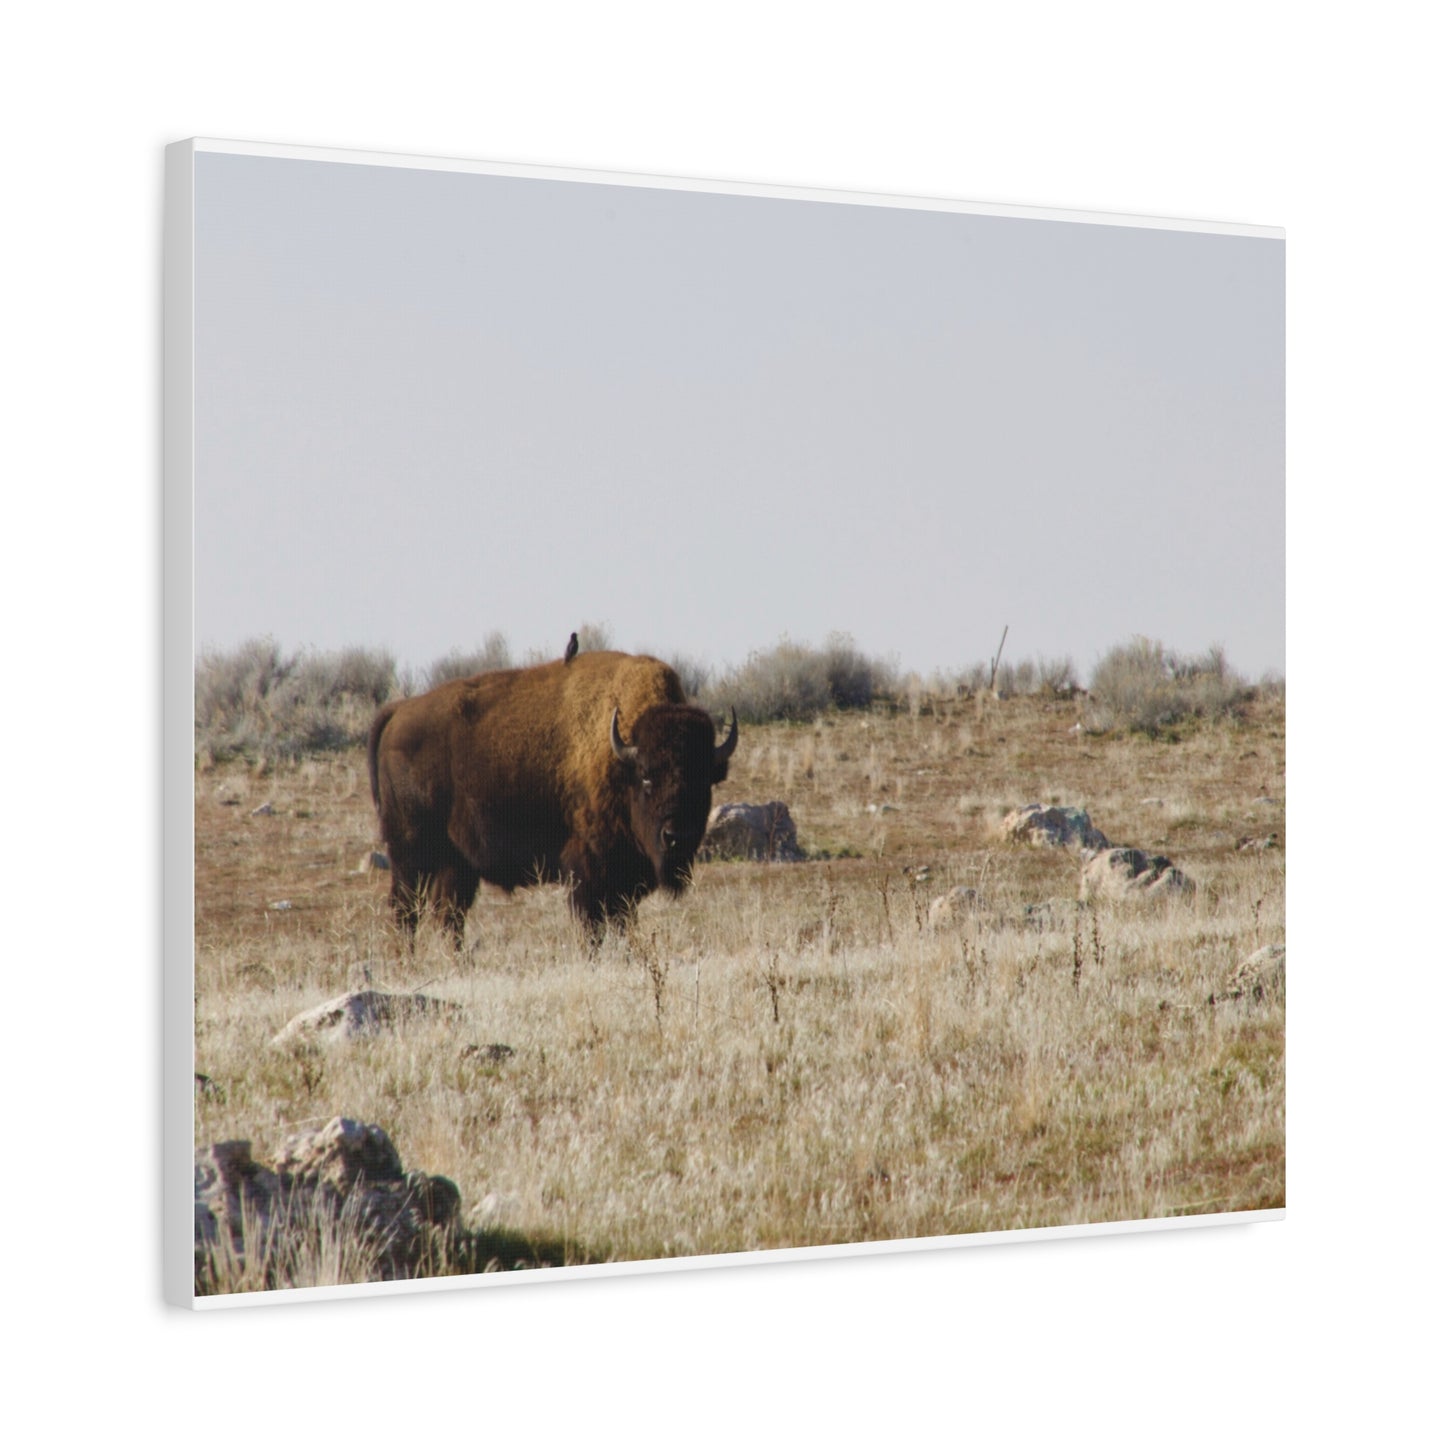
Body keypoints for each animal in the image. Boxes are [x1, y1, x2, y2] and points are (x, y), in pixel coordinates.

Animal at [367, 651, 738, 942]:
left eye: (704, 780)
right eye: (647, 777)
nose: (677, 836)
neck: (620, 759)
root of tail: (399, 711)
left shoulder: (625, 882)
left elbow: (621, 923)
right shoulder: (588, 872)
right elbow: (593, 927)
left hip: (455, 862)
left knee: (448, 916)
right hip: (410, 853)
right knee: (406, 910)